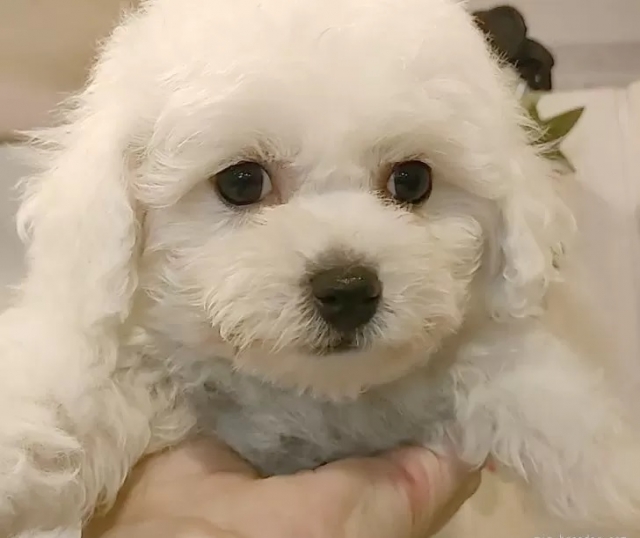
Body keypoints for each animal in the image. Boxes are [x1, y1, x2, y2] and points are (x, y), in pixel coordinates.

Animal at [1, 0, 639, 535]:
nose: (350, 288)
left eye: (413, 181)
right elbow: (78, 383)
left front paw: (609, 484)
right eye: (241, 181)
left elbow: (531, 387)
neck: (308, 394)